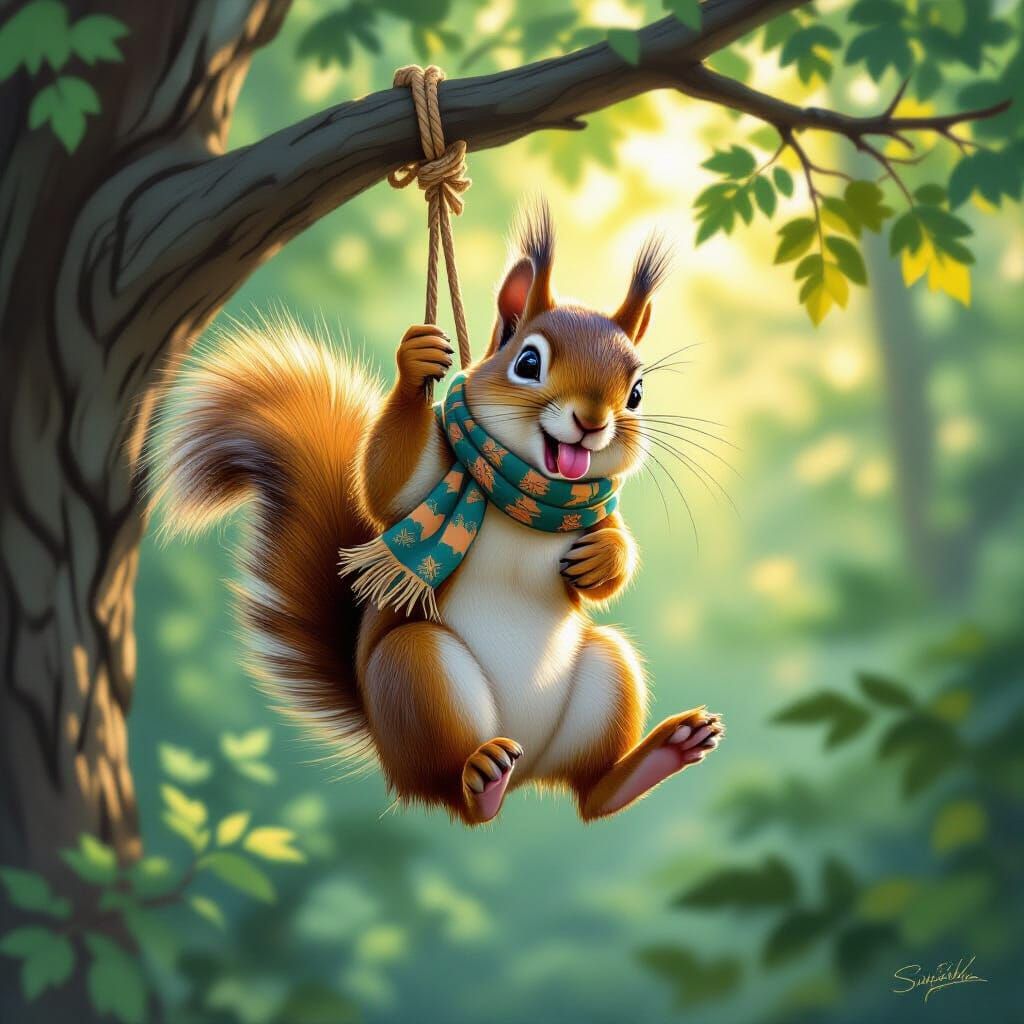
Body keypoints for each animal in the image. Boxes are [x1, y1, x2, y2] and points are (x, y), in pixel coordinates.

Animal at [154, 202, 722, 826]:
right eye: (528, 361)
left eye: (637, 392)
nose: (592, 422)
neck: (526, 491)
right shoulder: (426, 481)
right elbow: (387, 488)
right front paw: (416, 362)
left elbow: (612, 553)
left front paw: (600, 558)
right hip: (418, 675)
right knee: (458, 796)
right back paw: (482, 776)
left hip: (608, 670)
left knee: (591, 797)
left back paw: (658, 755)